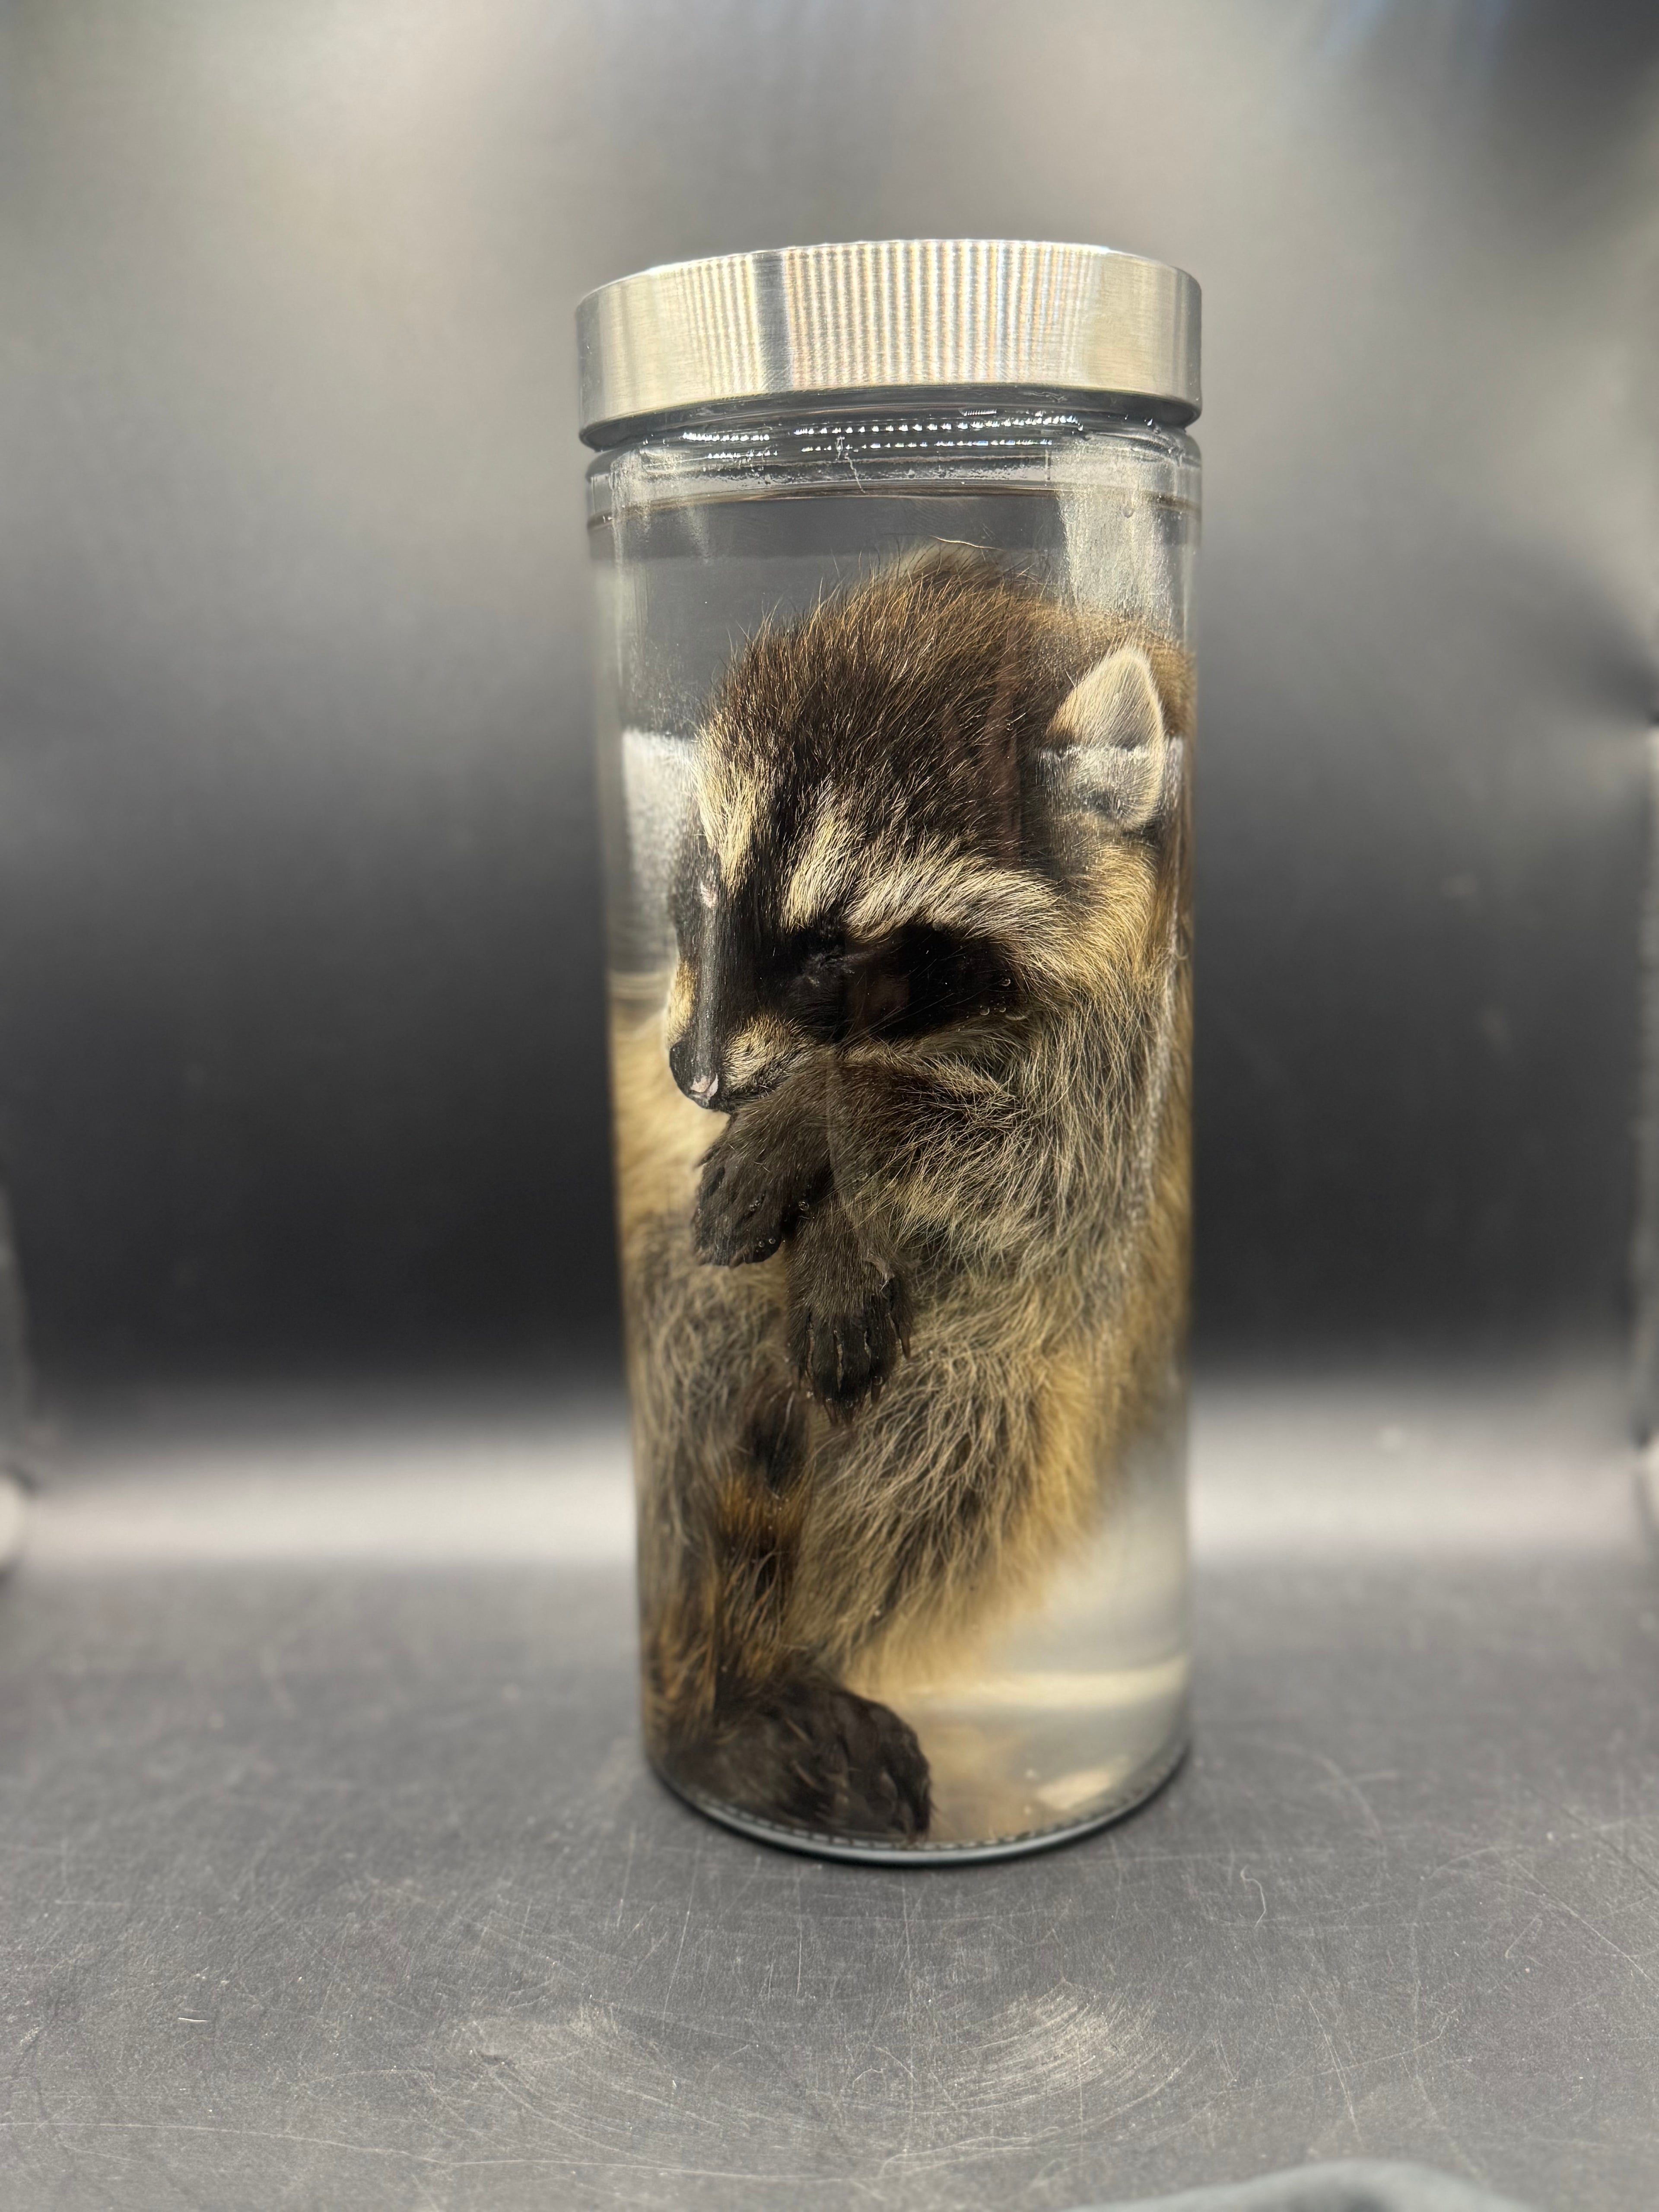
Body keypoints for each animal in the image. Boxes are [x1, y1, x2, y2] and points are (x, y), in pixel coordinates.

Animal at [610, 548, 1192, 1844]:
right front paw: (811, 1172)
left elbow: (1051, 1174)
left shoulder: (1136, 1039)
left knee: (968, 1415)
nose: (699, 1076)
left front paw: (836, 1138)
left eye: (833, 956)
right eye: (704, 902)